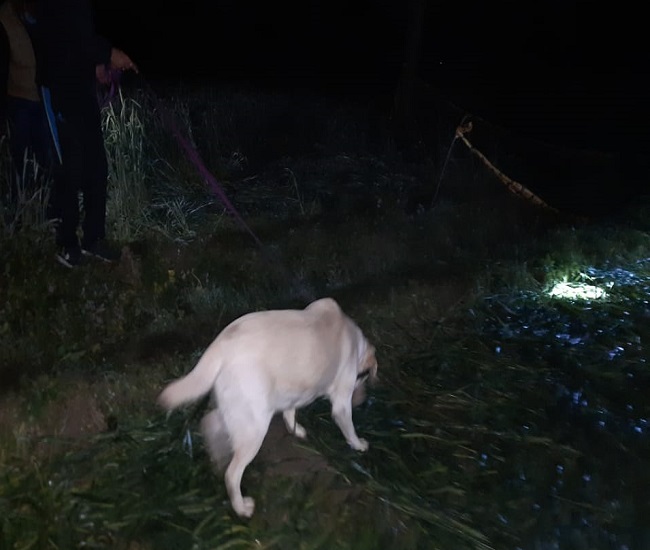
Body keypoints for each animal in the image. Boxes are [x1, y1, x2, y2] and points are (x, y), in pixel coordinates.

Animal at [157, 297, 378, 518]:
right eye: (363, 377)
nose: (362, 400)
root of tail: (221, 344)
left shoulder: (294, 391)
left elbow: (290, 412)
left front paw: (296, 430)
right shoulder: (341, 404)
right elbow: (349, 429)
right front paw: (358, 445)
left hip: (238, 412)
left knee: (208, 424)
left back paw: (217, 459)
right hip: (254, 427)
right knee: (232, 474)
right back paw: (241, 508)